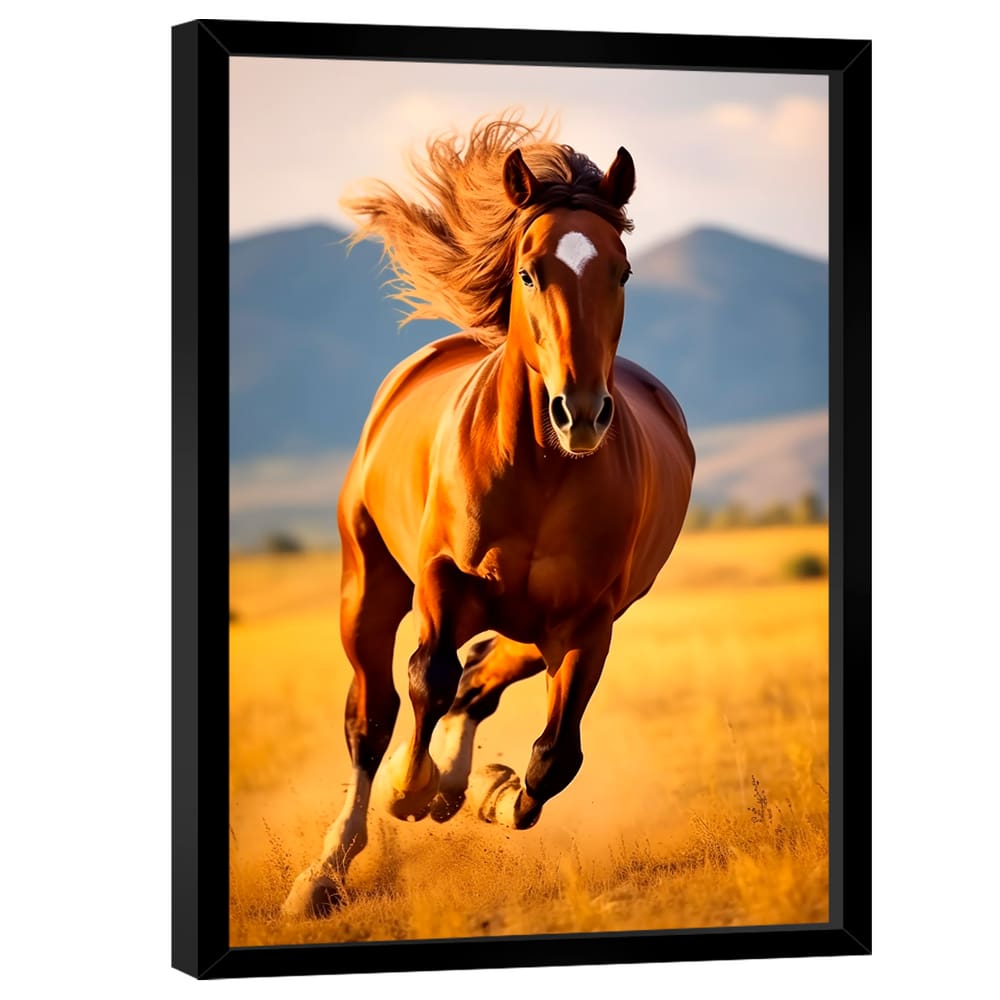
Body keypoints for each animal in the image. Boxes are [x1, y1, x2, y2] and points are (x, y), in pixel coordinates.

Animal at [282, 117, 695, 919]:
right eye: (530, 271)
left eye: (623, 272)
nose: (581, 414)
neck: (539, 470)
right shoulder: (444, 582)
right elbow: (426, 679)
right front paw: (412, 791)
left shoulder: (589, 623)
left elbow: (555, 756)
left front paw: (486, 793)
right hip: (369, 586)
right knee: (374, 711)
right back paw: (327, 868)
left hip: (544, 624)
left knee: (481, 680)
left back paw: (458, 784)